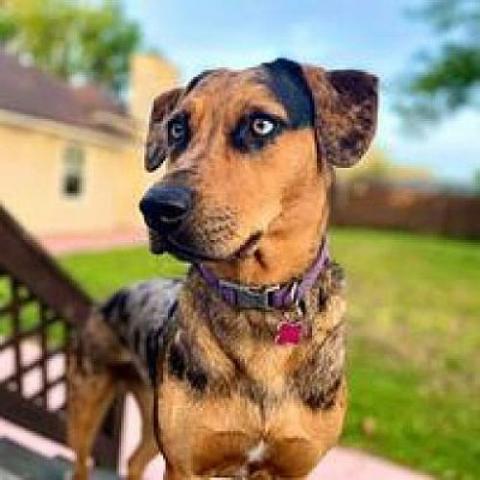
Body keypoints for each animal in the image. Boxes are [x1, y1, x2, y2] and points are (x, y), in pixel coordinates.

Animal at [67, 58, 376, 478]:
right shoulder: (185, 463)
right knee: (82, 458)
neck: (260, 300)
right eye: (177, 128)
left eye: (261, 124)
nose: (155, 208)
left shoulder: (291, 468)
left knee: (133, 459)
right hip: (88, 399)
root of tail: (113, 297)